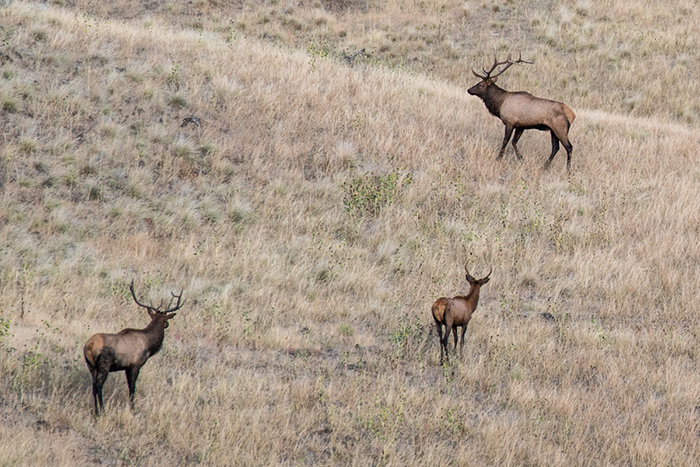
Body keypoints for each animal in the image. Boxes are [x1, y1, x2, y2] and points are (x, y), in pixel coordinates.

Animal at [82, 280, 185, 414]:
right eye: (165, 320)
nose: (167, 324)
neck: (149, 345)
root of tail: (88, 347)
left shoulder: (127, 367)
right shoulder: (135, 365)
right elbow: (132, 387)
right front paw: (133, 408)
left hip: (91, 366)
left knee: (93, 386)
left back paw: (96, 411)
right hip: (104, 365)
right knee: (99, 385)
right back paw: (102, 410)